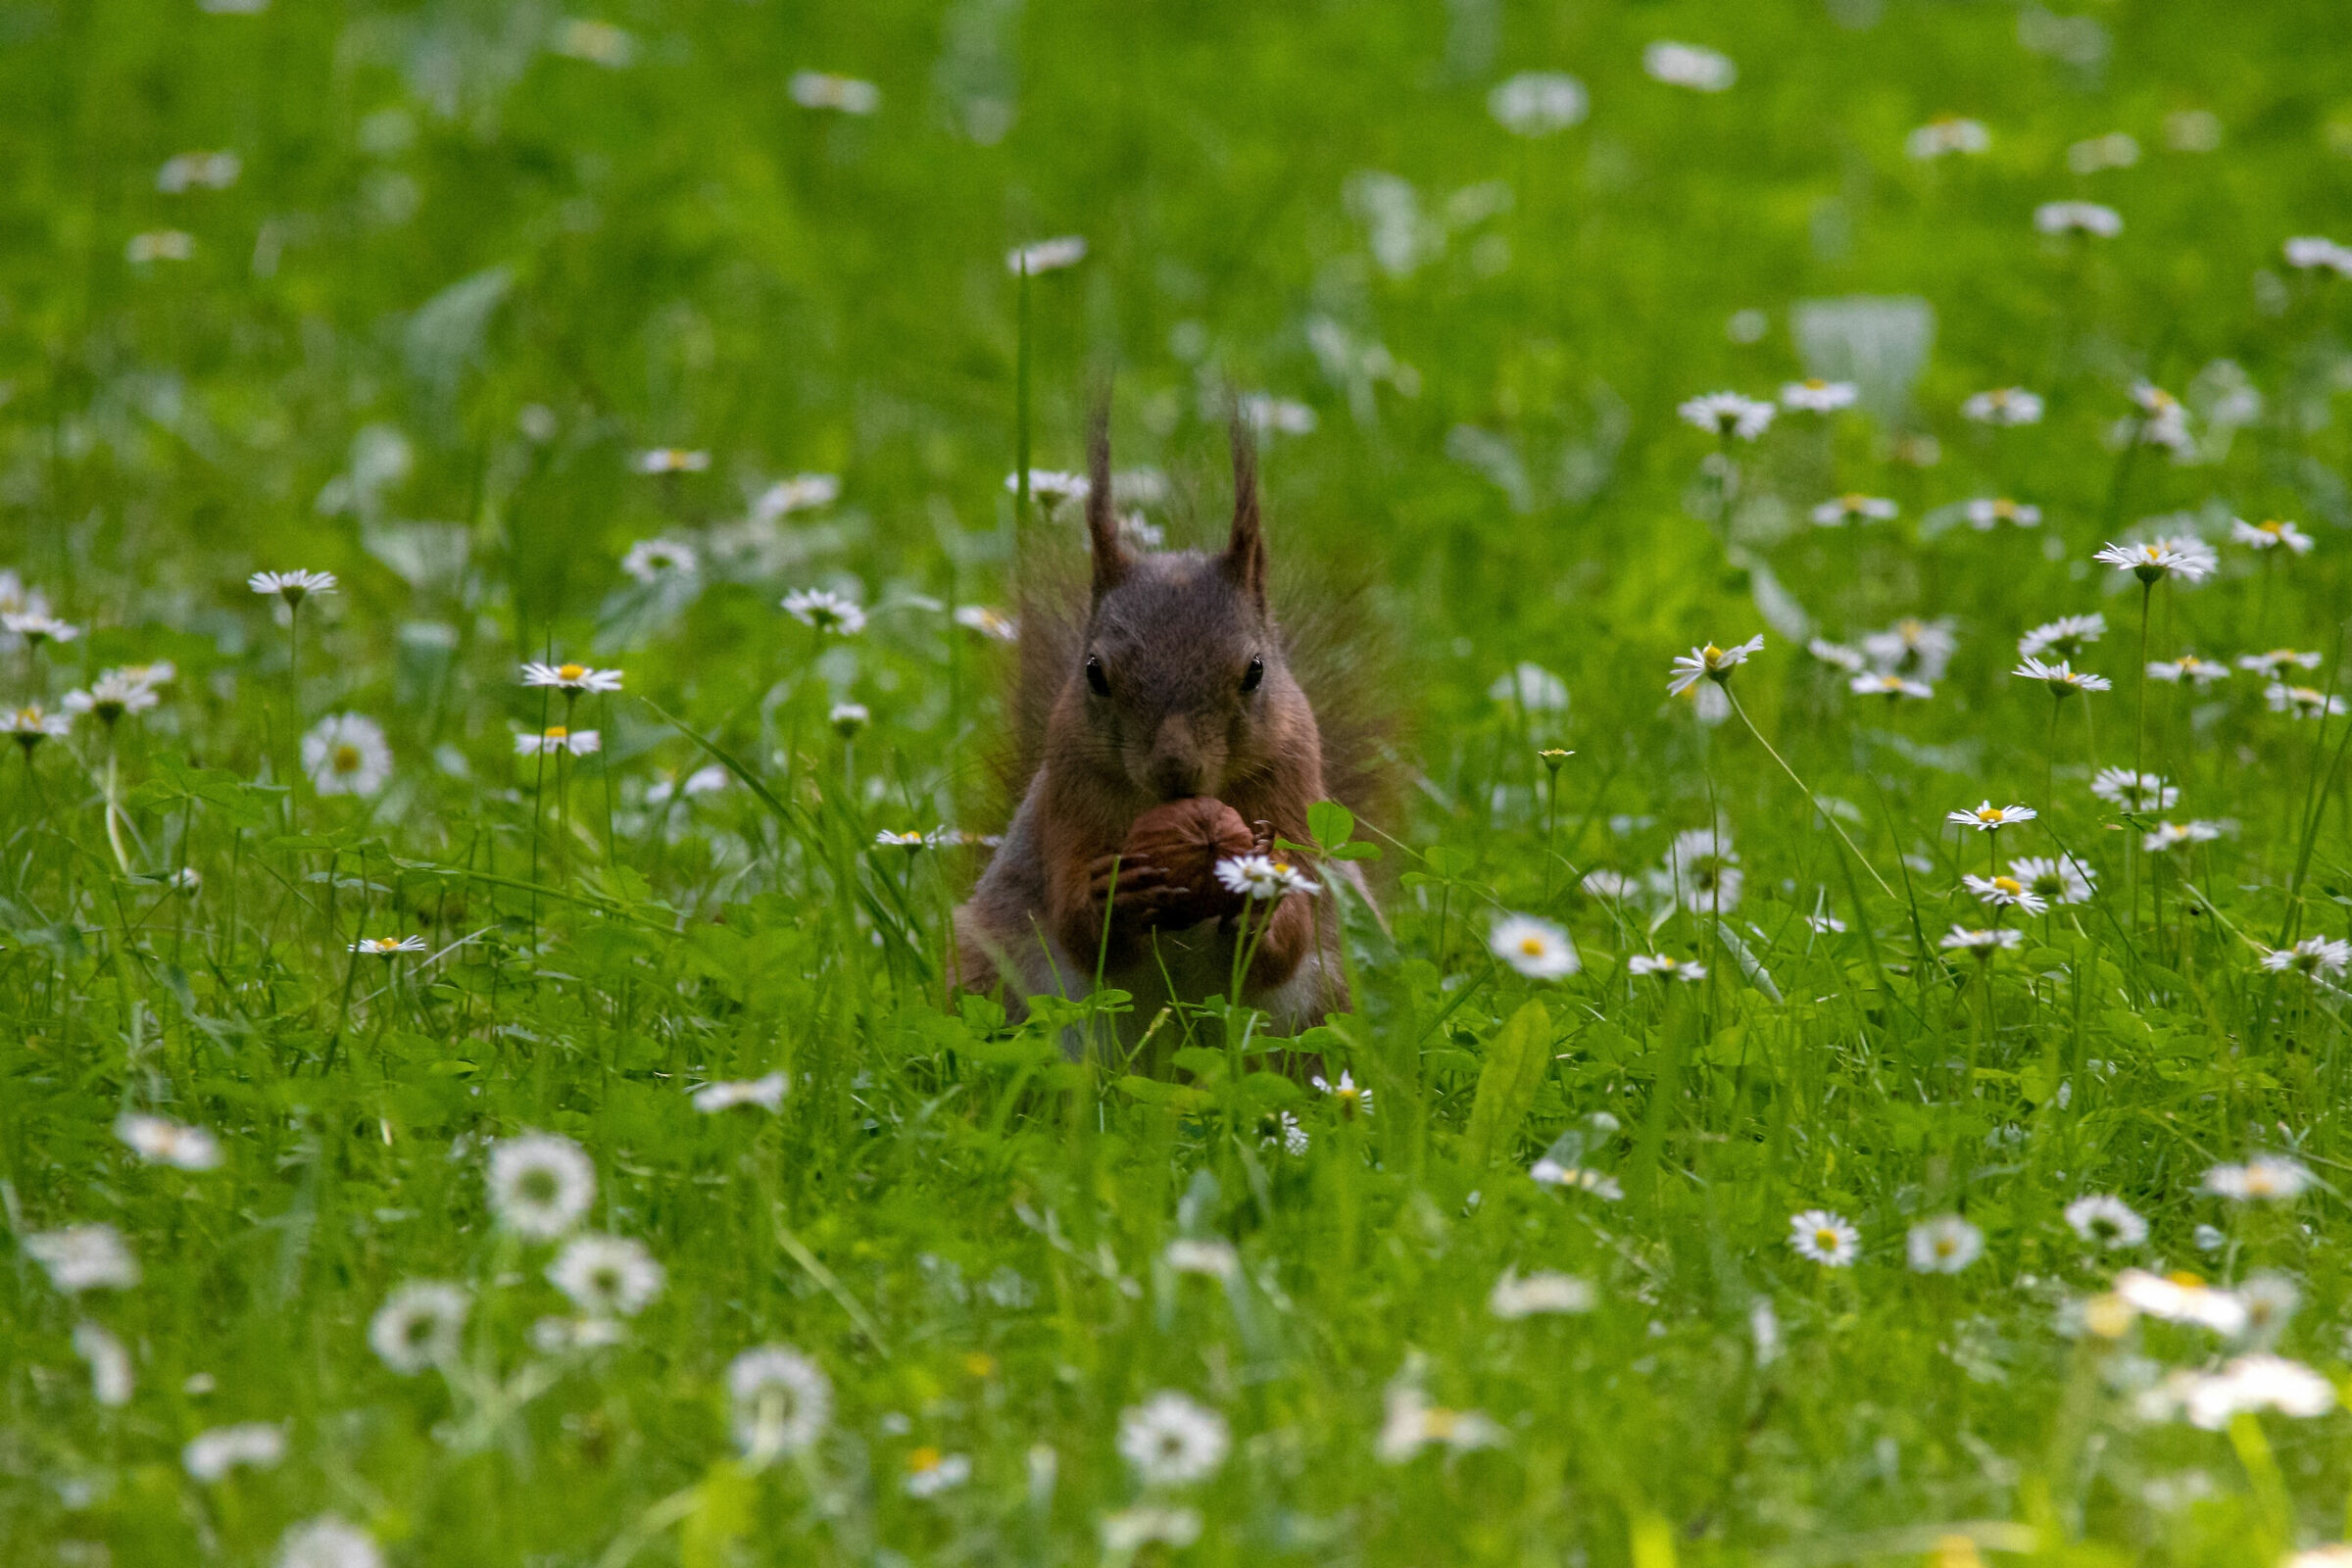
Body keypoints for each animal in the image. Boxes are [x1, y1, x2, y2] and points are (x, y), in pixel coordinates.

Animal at [951, 411, 1381, 1041]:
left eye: (1255, 670)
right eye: (1094, 672)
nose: (1175, 768)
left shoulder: (1293, 795)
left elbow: (1289, 939)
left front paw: (1262, 904)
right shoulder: (1068, 800)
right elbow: (1076, 923)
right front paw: (1113, 898)